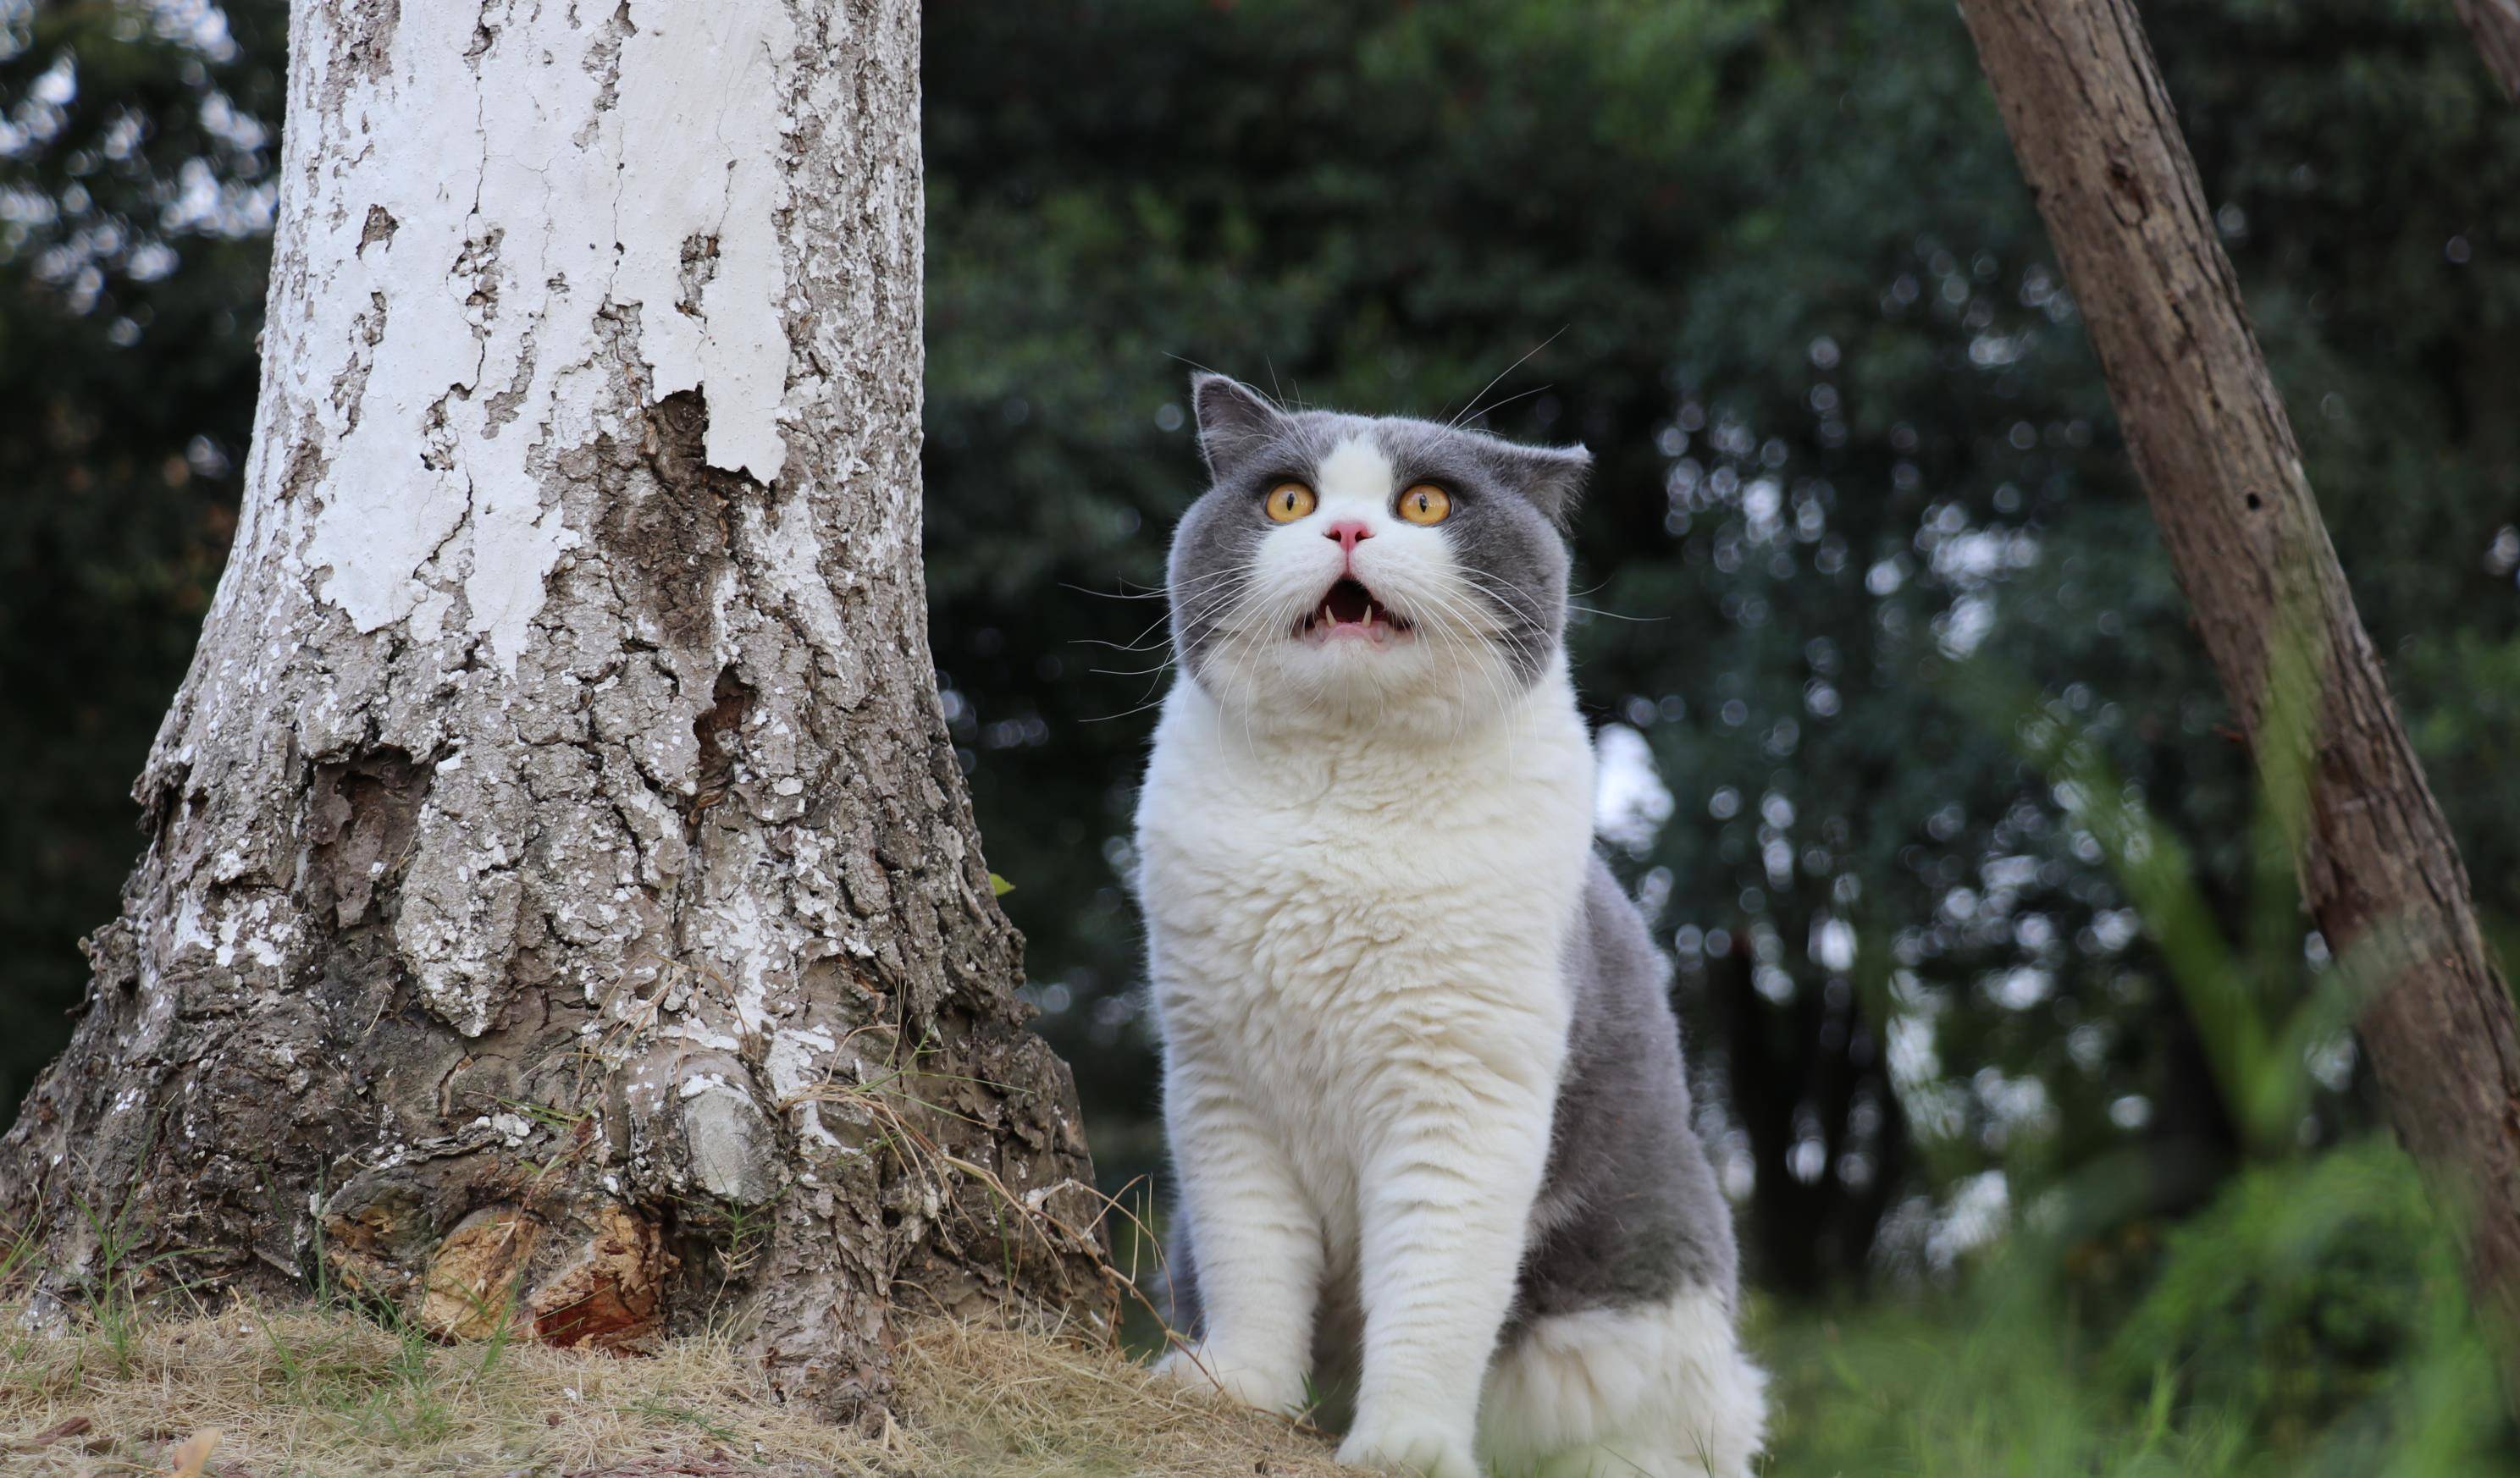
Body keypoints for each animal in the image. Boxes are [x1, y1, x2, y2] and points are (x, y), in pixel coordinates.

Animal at [1144, 378, 1774, 1478]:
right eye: (1289, 501)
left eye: (1428, 504)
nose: (1348, 529)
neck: (1342, 797)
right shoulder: (1223, 1090)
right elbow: (1251, 1260)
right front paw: (1239, 1390)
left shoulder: (1464, 1096)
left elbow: (1434, 1290)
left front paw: (1405, 1446)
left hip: (1648, 1326)